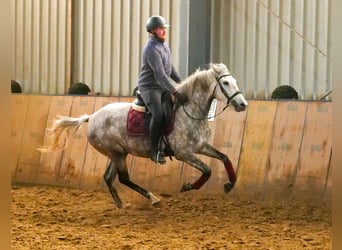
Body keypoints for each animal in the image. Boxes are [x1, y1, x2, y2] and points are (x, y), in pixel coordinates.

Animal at [39, 62, 248, 207]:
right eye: (226, 82)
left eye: (235, 81)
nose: (243, 104)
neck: (189, 110)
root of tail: (92, 117)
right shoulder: (184, 154)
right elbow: (208, 170)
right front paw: (188, 186)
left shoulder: (201, 146)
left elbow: (224, 157)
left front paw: (230, 184)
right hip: (116, 153)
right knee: (123, 178)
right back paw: (152, 198)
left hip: (118, 153)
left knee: (109, 177)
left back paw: (122, 204)